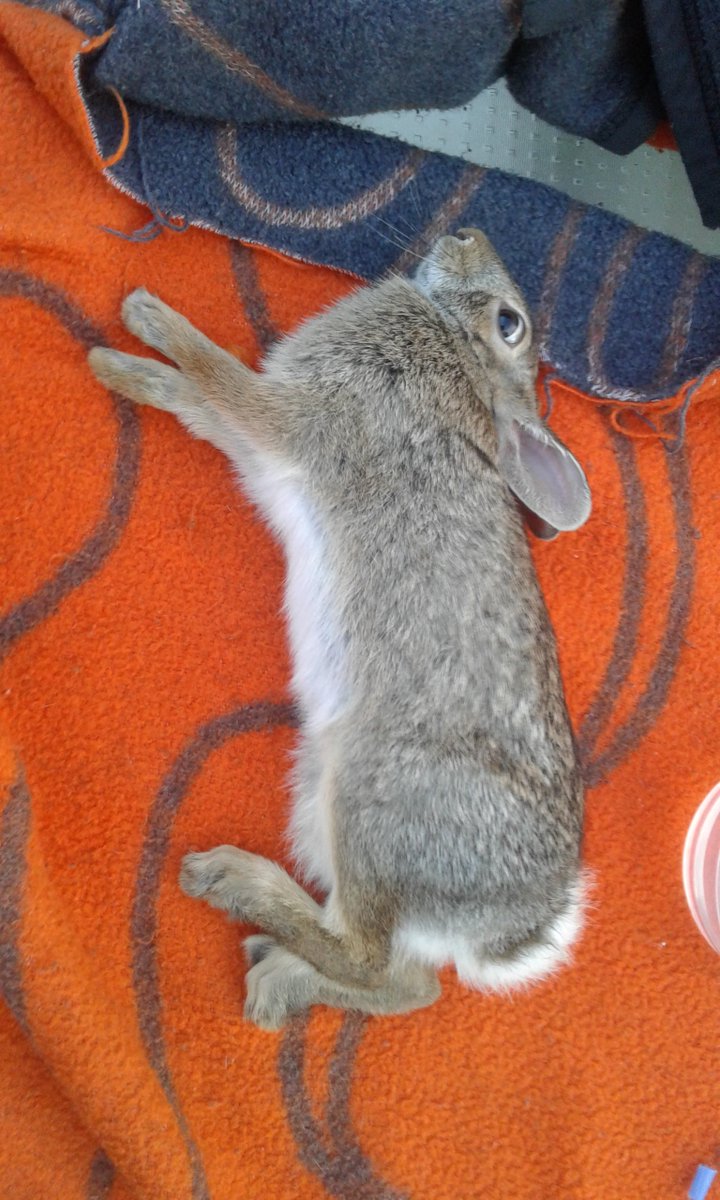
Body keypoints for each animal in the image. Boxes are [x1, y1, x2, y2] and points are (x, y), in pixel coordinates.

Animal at [88, 228, 591, 1031]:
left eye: (509, 323)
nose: (467, 234)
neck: (456, 359)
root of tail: (516, 928)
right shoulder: (261, 442)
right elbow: (192, 397)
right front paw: (128, 357)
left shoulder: (288, 413)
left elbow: (213, 373)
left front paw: (135, 327)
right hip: (323, 797)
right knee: (409, 984)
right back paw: (278, 975)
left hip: (369, 797)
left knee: (364, 953)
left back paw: (228, 886)